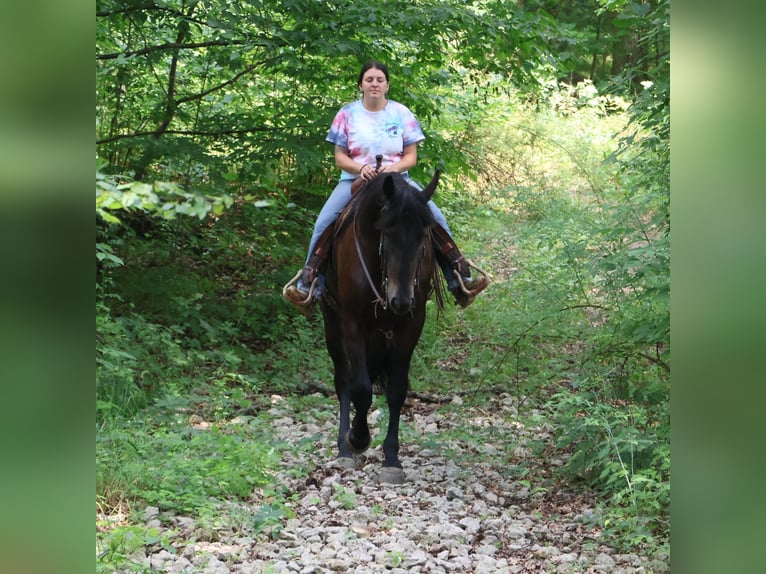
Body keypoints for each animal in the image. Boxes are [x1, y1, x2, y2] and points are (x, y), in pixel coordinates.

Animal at [320, 170, 443, 484]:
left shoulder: (412, 323)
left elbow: (397, 390)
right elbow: (361, 388)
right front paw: (358, 439)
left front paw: (391, 459)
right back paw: (344, 450)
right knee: (344, 381)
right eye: (387, 234)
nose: (400, 299)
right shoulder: (352, 322)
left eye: (424, 236)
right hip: (332, 325)